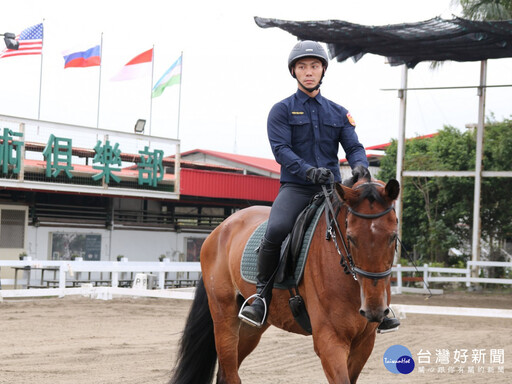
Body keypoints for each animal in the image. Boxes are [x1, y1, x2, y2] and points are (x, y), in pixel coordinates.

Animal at [170, 178, 402, 382]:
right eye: (351, 238)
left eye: (393, 236)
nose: (374, 310)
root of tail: (220, 229)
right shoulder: (330, 340)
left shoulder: (364, 342)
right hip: (224, 317)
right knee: (230, 374)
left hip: (252, 327)